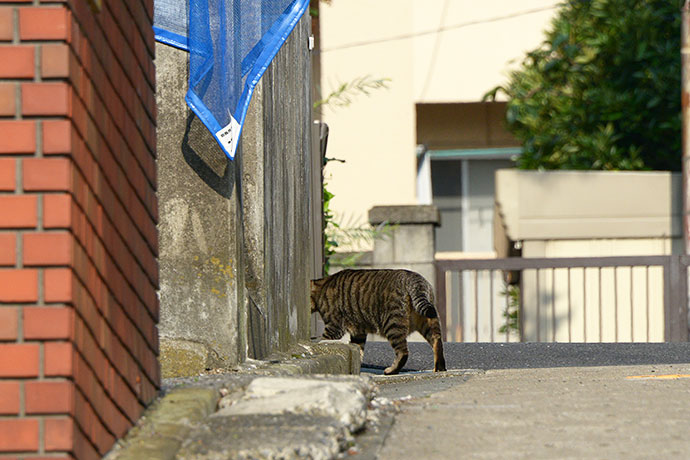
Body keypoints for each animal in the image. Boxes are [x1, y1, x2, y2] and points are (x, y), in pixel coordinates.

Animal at [308, 270, 446, 374]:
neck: (321, 287)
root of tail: (415, 279)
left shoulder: (334, 326)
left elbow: (324, 340)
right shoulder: (358, 332)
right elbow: (359, 350)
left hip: (392, 324)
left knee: (403, 352)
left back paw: (391, 370)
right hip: (428, 321)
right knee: (437, 341)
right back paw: (439, 367)